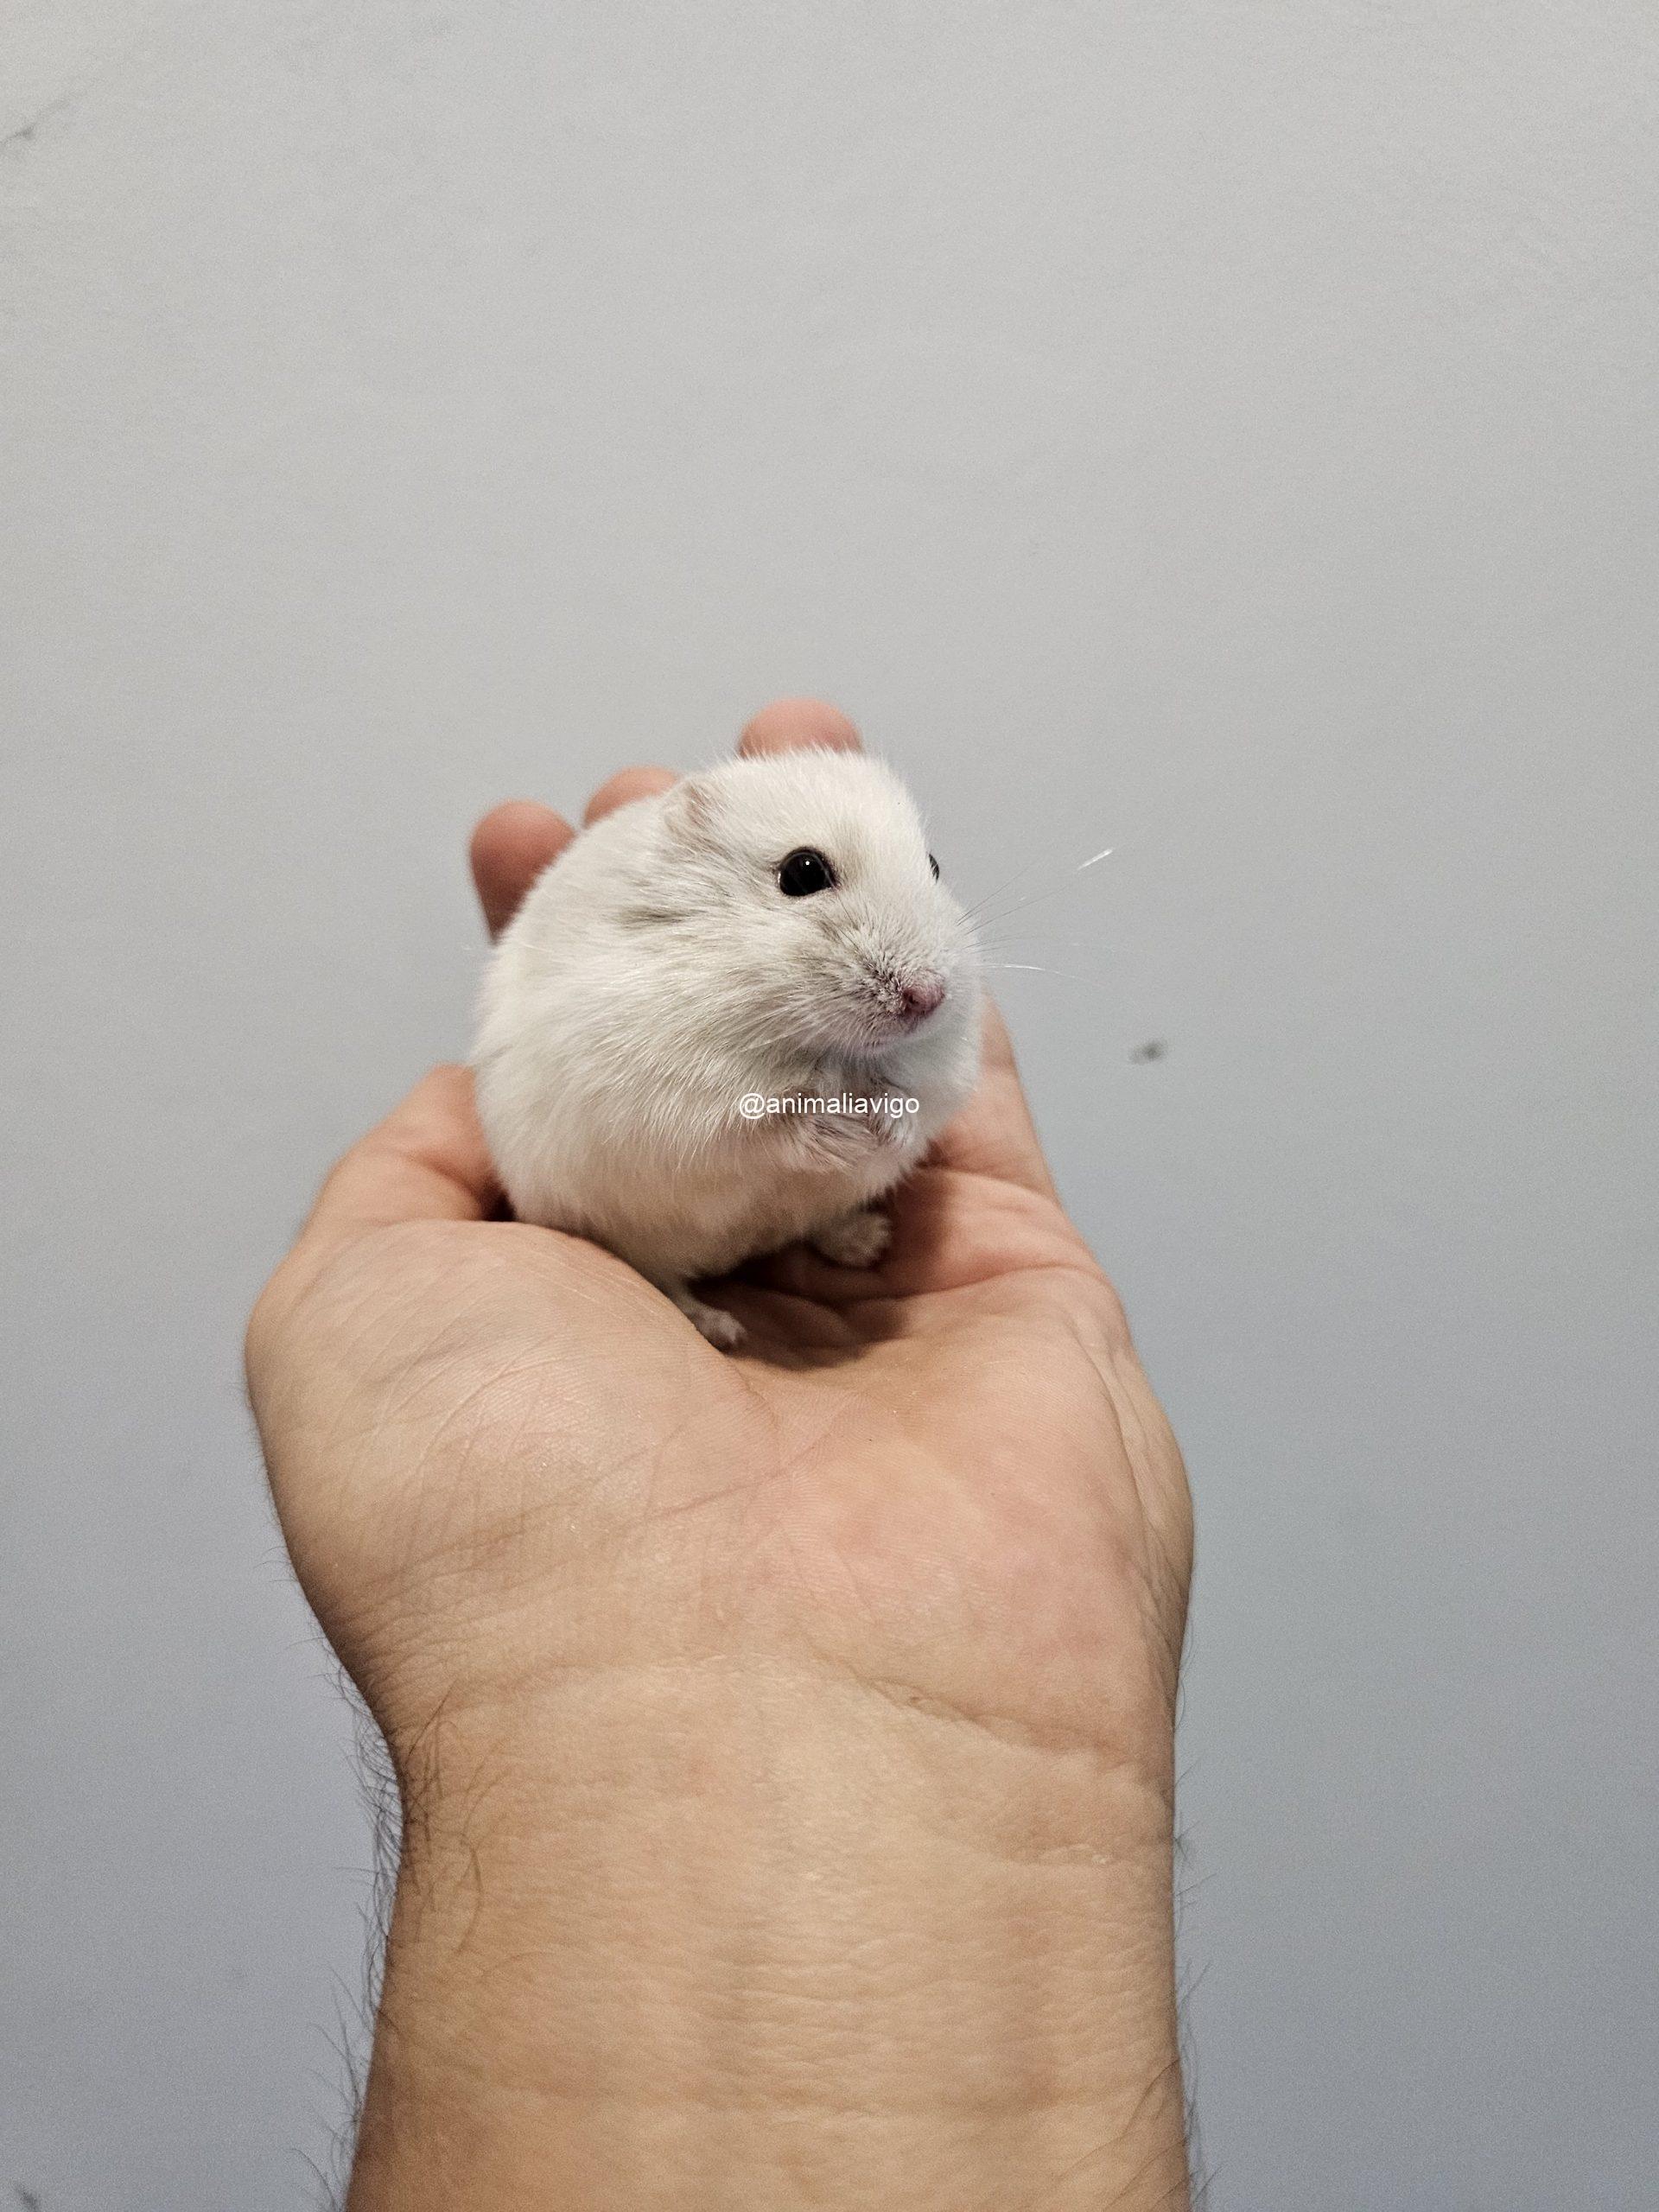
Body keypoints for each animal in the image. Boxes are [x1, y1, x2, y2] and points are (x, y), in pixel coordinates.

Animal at [472, 748, 982, 1346]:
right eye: (802, 871)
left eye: (934, 865)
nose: (929, 997)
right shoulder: (681, 1111)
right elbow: (767, 1129)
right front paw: (839, 1132)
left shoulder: (940, 1074)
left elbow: (911, 1099)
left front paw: (883, 1126)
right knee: (664, 1279)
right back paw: (723, 1329)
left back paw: (868, 1240)